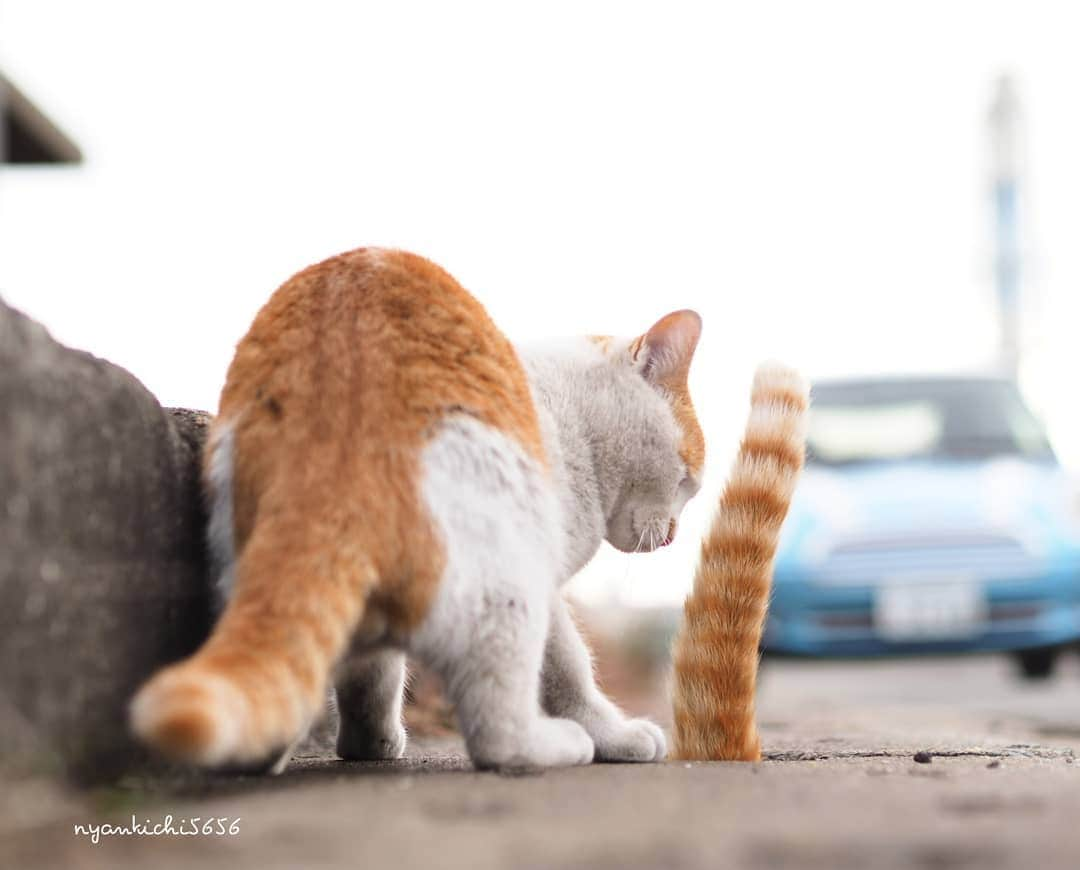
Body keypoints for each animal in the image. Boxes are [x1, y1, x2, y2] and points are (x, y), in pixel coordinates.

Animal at [130, 245, 708, 768]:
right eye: (687, 480)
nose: (674, 534)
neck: (574, 420)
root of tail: (334, 450)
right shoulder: (545, 580)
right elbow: (568, 666)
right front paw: (615, 734)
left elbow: (373, 677)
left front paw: (371, 743)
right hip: (505, 575)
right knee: (499, 725)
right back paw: (557, 745)